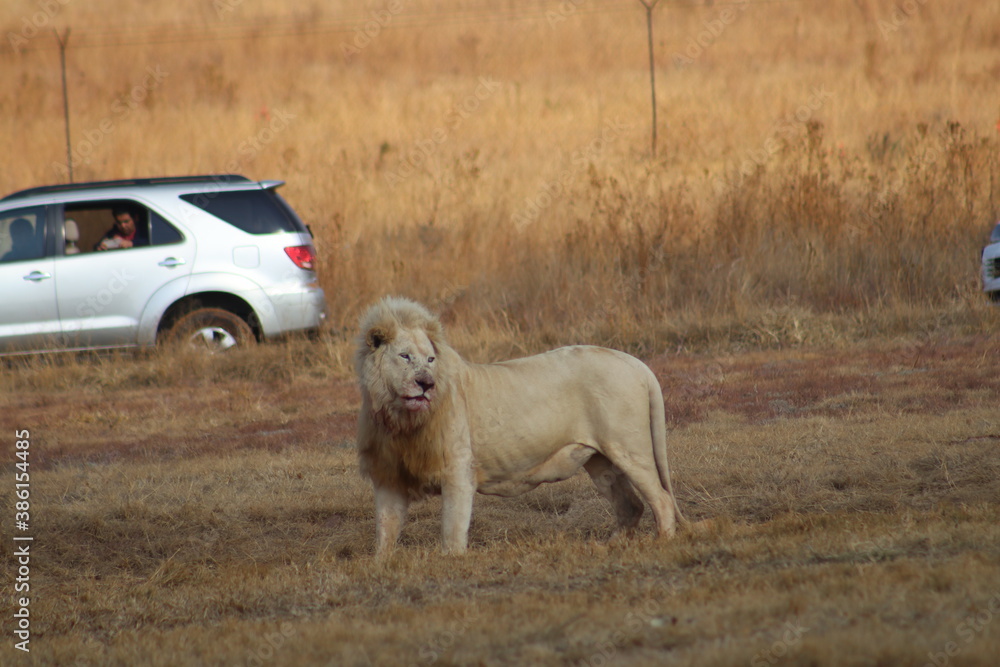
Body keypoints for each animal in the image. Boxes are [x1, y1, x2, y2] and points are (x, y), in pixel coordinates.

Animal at [355, 296, 685, 555]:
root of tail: (637, 364)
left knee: (662, 499)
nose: (426, 384)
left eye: (431, 360)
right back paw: (608, 546)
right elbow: (385, 529)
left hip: (629, 449)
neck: (400, 421)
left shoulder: (458, 470)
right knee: (631, 505)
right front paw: (381, 565)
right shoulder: (388, 476)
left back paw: (661, 543)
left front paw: (452, 562)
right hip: (600, 460)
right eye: (405, 356)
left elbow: (452, 530)